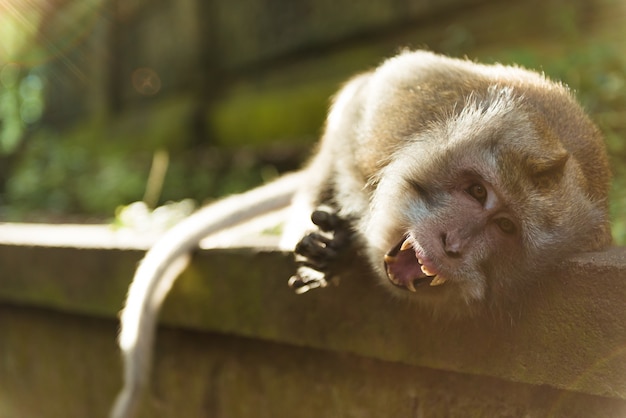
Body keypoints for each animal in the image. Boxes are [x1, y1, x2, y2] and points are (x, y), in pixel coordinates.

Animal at [108, 49, 608, 418]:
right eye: (476, 191)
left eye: (505, 227)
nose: (451, 244)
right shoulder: (407, 98)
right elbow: (365, 103)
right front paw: (346, 233)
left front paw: (345, 247)